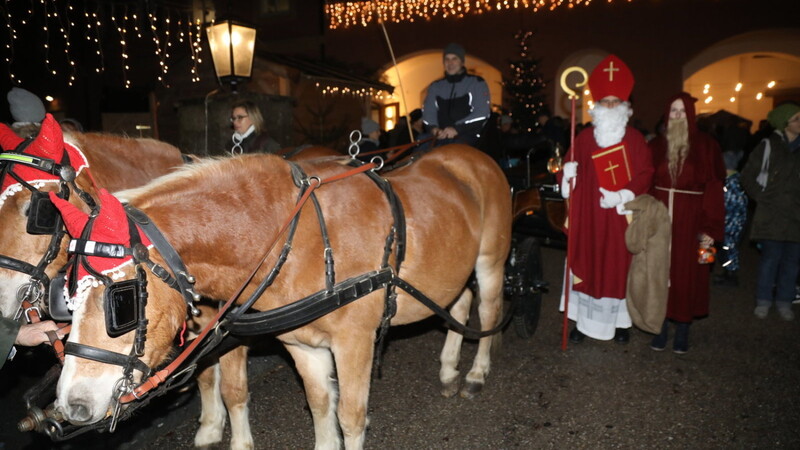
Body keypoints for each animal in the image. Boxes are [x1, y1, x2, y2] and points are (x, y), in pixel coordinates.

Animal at [51, 146, 512, 448]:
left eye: (122, 302)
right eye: (65, 299)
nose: (72, 406)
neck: (301, 237)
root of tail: (470, 154)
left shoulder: (355, 342)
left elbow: (351, 416)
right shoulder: (302, 345)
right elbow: (321, 406)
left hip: (490, 261)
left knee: (489, 310)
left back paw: (476, 373)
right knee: (458, 303)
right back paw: (449, 368)